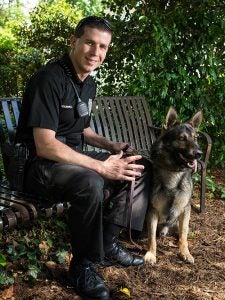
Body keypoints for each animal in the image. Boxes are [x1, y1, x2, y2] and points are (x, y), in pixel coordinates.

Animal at [145, 107, 203, 264]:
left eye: (195, 138)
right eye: (182, 138)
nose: (199, 153)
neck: (173, 172)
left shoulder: (185, 209)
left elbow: (184, 236)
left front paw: (185, 252)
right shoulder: (152, 210)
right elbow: (151, 237)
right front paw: (151, 253)